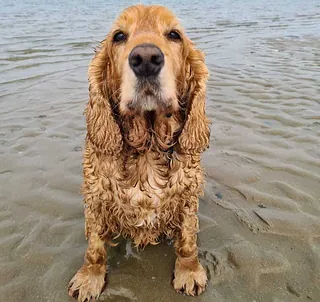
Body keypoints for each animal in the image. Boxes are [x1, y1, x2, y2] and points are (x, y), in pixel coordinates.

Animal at [68, 4, 210, 300]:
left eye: (174, 35)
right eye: (119, 36)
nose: (146, 59)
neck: (147, 148)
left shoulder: (188, 195)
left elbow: (187, 240)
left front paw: (189, 271)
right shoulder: (96, 196)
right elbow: (95, 246)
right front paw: (89, 277)